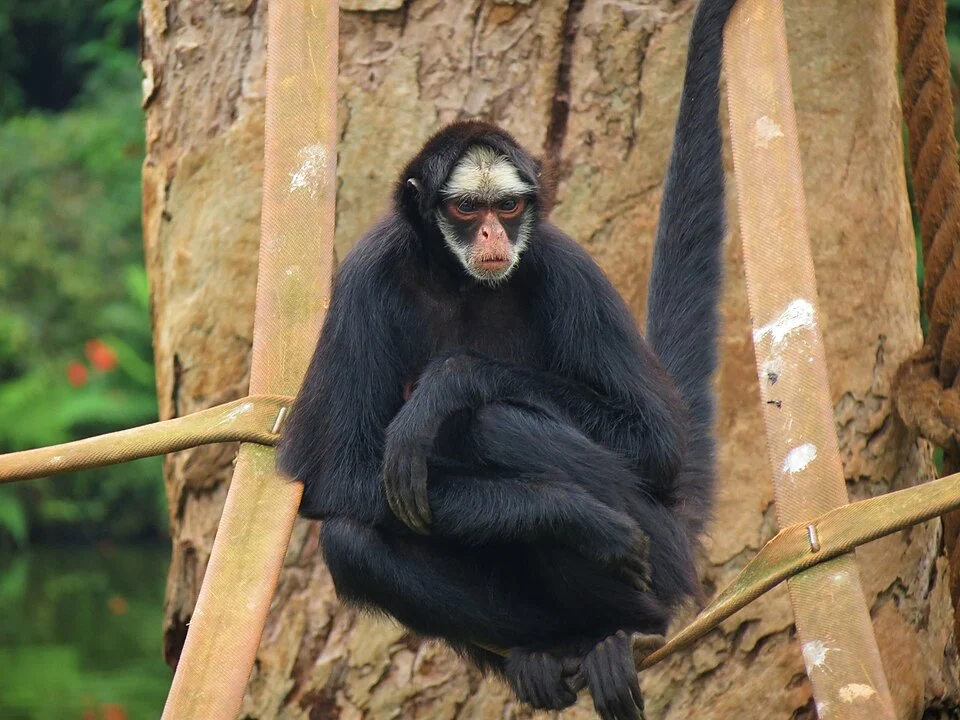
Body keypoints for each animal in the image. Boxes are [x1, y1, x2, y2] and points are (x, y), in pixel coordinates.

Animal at [277, 0, 737, 717]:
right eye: (468, 209)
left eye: (510, 205)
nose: (494, 233)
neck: (464, 282)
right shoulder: (362, 279)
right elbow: (339, 481)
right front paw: (572, 515)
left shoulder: (563, 263)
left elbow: (659, 441)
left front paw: (451, 383)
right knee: (352, 539)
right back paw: (559, 647)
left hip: (661, 555)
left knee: (498, 420)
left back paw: (629, 631)